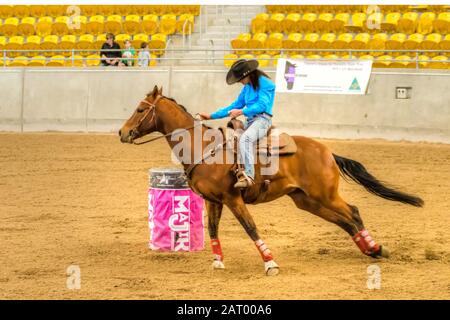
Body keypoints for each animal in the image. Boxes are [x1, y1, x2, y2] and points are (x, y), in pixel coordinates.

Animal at [118, 86, 424, 276]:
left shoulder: (233, 198)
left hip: (325, 195)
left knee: (354, 212)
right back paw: (371, 249)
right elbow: (213, 229)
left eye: (140, 109)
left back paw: (374, 247)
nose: (122, 132)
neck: (203, 147)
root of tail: (327, 152)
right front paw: (218, 262)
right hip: (306, 201)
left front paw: (270, 263)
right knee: (345, 221)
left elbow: (251, 228)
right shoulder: (213, 201)